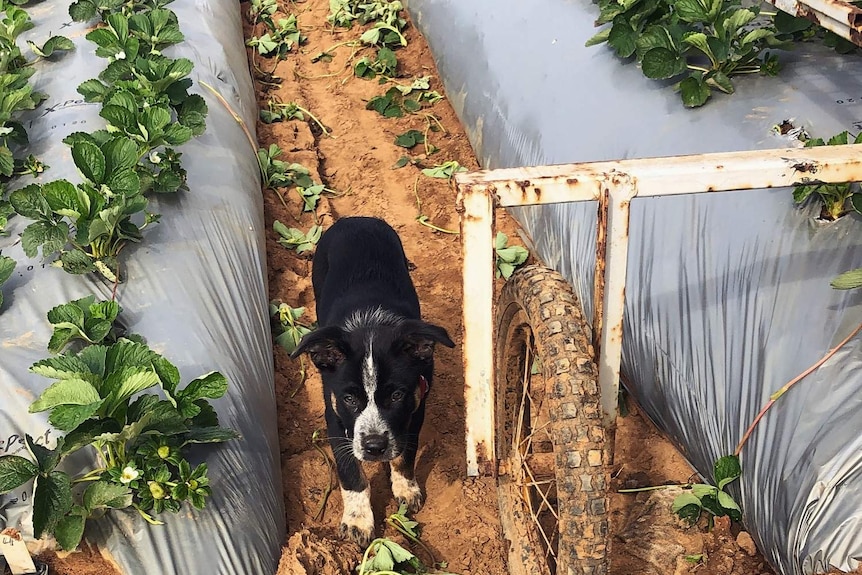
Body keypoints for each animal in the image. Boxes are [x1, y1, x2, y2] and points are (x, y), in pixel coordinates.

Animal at [292, 215, 456, 544]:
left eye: (396, 395)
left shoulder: (415, 408)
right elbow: (349, 470)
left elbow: (405, 453)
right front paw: (358, 520)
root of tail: (356, 219)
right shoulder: (334, 415)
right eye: (349, 398)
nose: (374, 447)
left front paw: (406, 488)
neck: (370, 326)